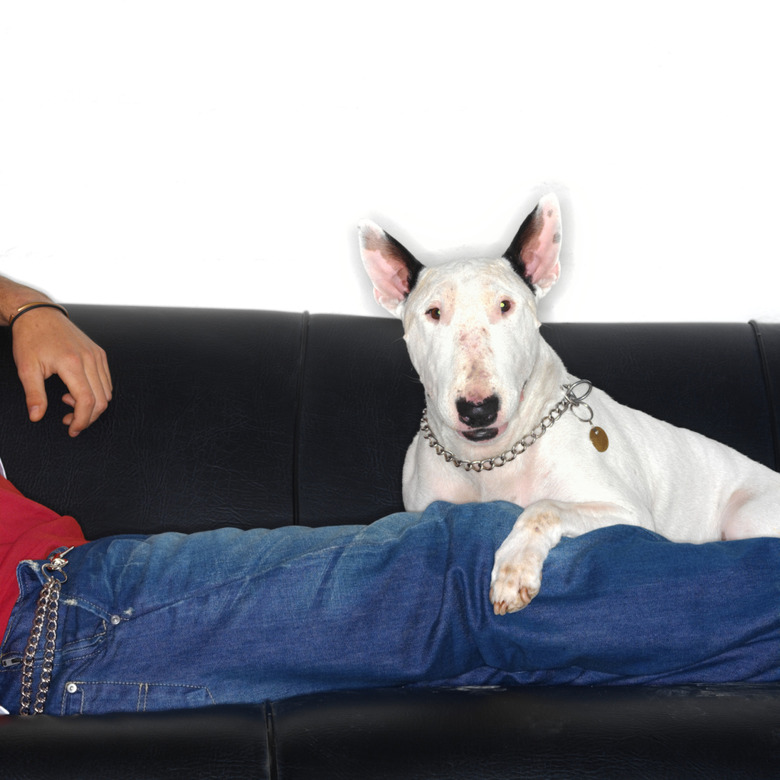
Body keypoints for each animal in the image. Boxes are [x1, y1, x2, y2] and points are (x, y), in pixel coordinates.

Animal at [358, 195, 780, 616]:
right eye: (433, 312)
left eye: (505, 305)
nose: (478, 409)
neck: (489, 460)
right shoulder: (422, 511)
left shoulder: (629, 514)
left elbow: (544, 507)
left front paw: (514, 571)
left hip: (746, 517)